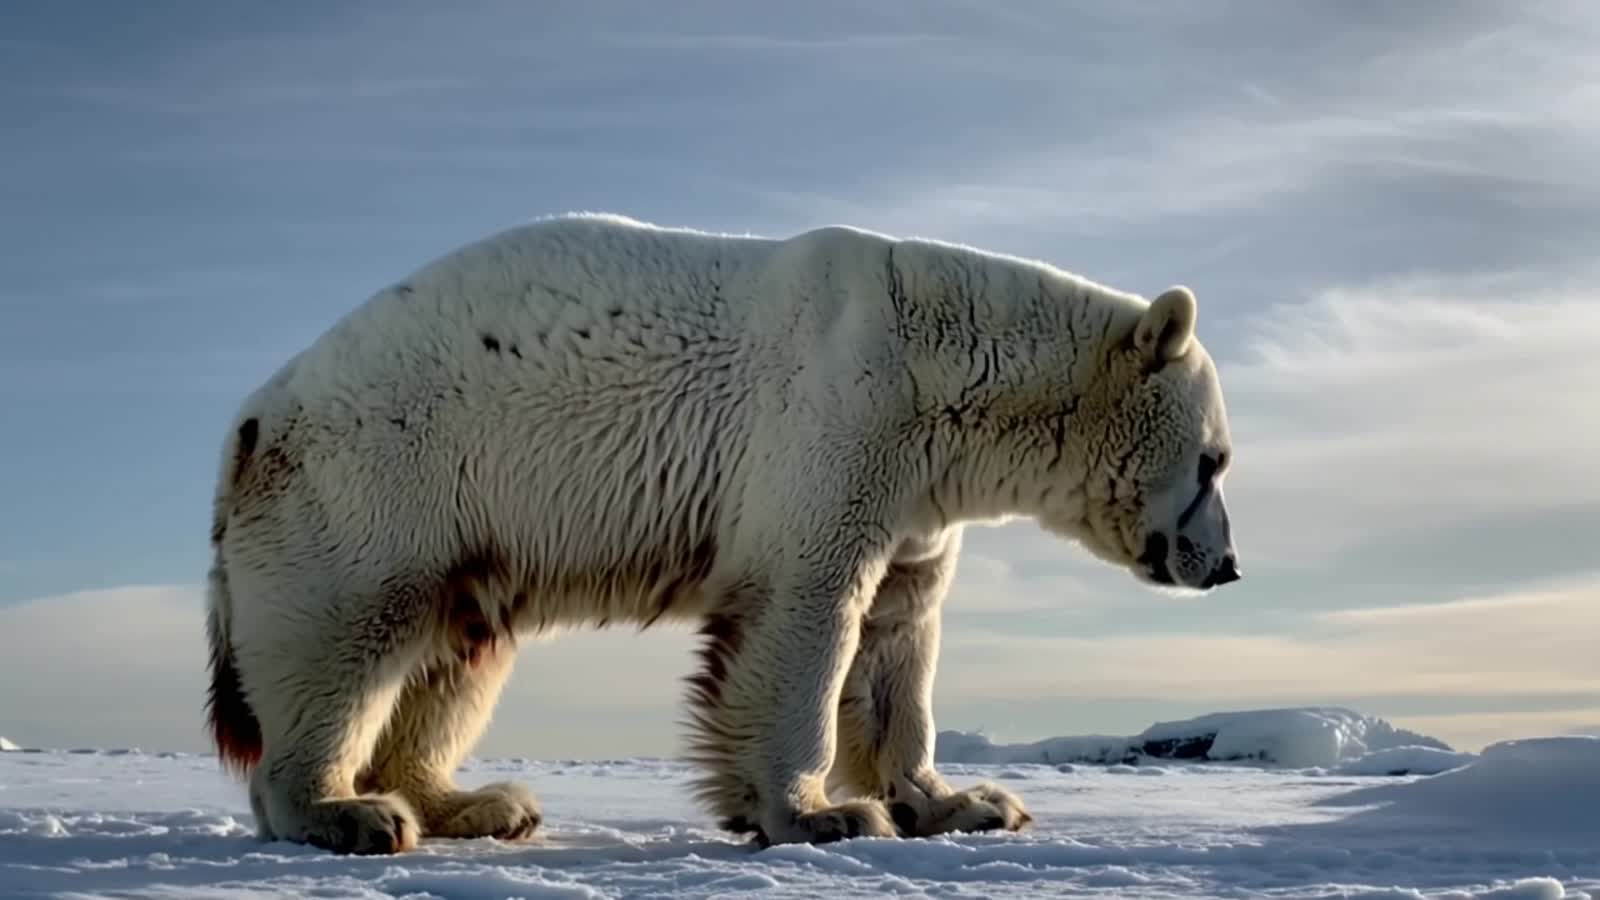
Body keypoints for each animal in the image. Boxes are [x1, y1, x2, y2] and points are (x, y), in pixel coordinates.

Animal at [203, 212, 1242, 855]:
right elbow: (809, 613)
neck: (941, 364)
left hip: (463, 528)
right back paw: (348, 811)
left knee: (458, 651)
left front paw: (966, 801)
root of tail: (251, 417)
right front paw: (820, 815)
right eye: (1216, 461)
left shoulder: (916, 494)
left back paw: (478, 802)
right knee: (345, 635)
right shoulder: (838, 420)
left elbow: (899, 640)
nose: (1228, 565)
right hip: (384, 476)